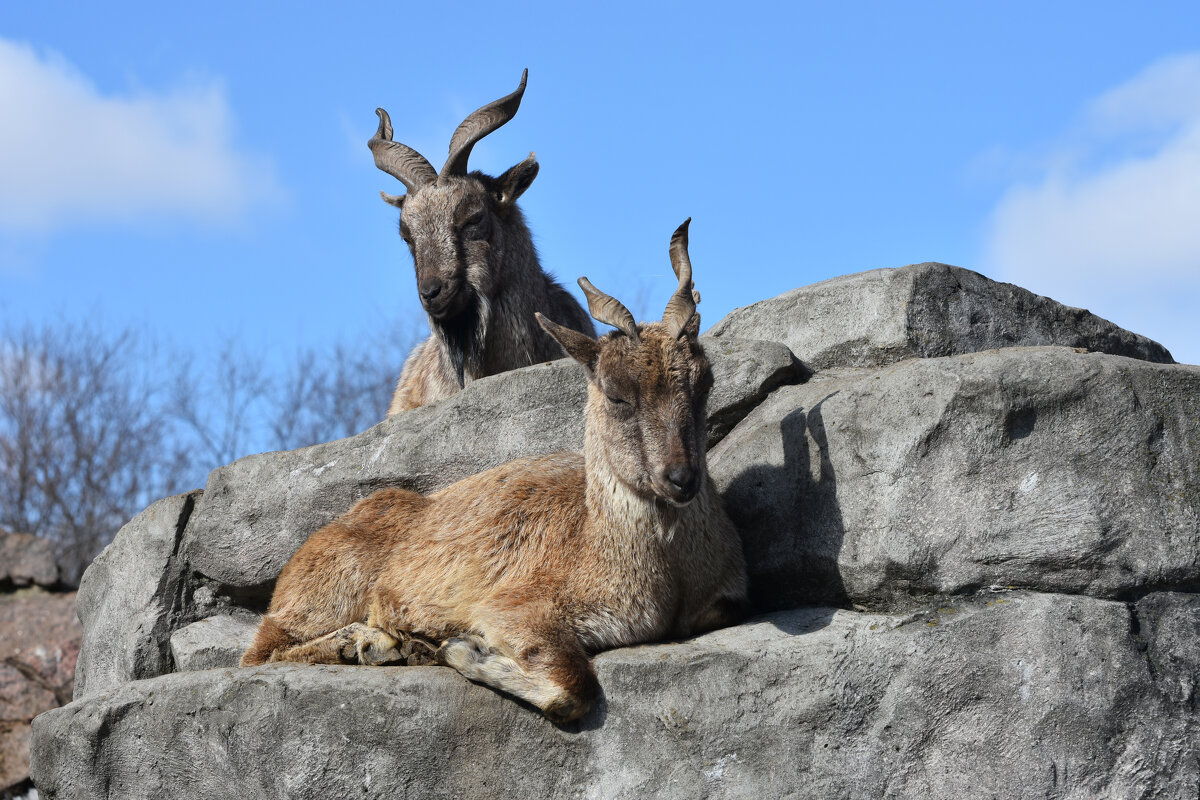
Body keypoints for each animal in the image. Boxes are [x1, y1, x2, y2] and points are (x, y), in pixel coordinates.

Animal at [241, 220, 748, 724]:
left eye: (704, 382)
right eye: (617, 394)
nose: (680, 477)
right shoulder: (517, 607)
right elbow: (572, 687)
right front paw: (463, 648)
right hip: (328, 588)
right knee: (261, 652)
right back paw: (367, 643)